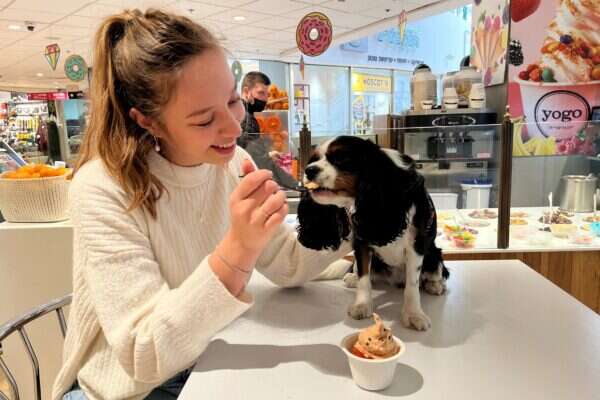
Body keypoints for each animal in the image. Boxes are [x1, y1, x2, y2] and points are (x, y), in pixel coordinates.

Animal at [297, 136, 449, 331]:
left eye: (341, 158)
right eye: (313, 159)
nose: (309, 170)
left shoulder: (417, 245)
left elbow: (412, 285)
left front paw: (413, 314)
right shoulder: (361, 241)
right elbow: (364, 277)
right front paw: (362, 305)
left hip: (434, 255)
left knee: (436, 272)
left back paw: (435, 285)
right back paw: (353, 277)